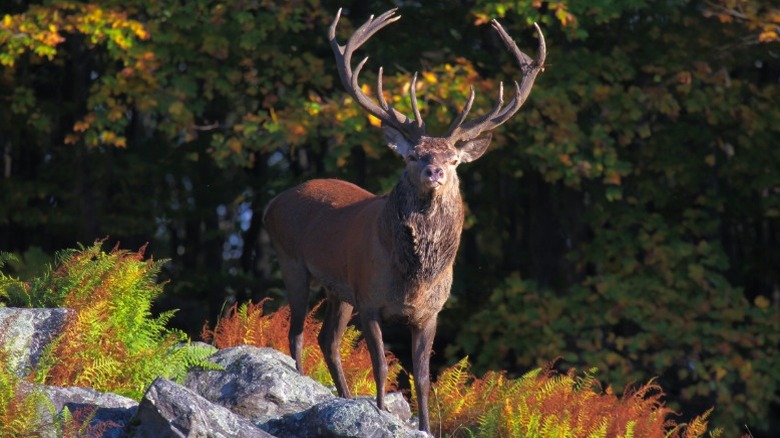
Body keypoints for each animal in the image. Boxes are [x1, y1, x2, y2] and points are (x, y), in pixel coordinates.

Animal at [262, 7, 544, 434]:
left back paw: (344, 395)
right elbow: (380, 366)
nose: (435, 172)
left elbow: (423, 377)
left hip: (339, 290)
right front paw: (378, 413)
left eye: (454, 160)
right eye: (413, 155)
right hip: (292, 261)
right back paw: (304, 382)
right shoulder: (370, 300)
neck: (413, 278)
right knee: (296, 332)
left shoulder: (430, 313)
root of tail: (272, 203)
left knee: (328, 339)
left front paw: (424, 426)